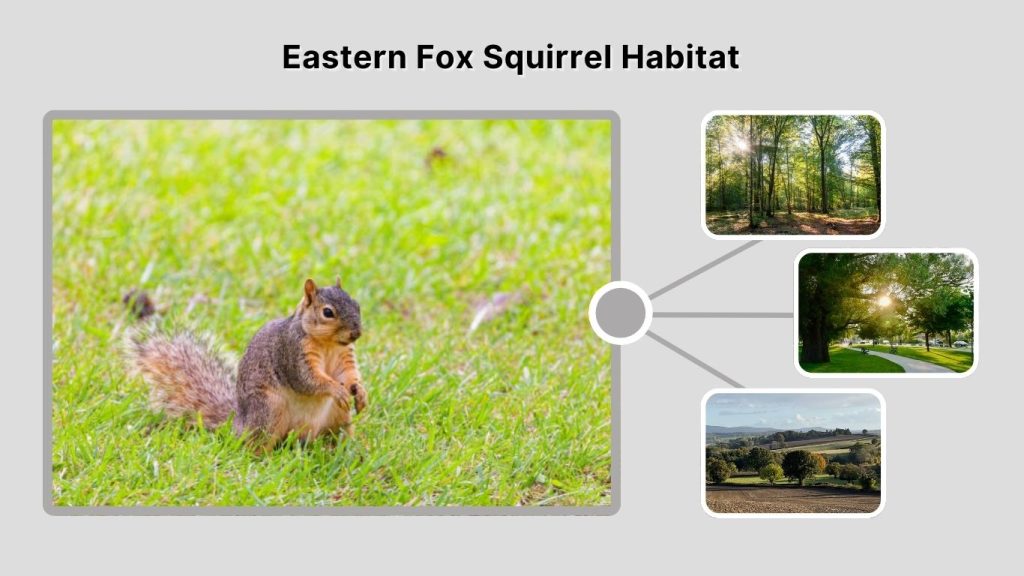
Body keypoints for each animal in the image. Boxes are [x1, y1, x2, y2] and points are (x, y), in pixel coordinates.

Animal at [127, 278, 368, 450]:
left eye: (357, 305)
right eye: (327, 312)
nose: (356, 333)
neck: (328, 344)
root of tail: (239, 424)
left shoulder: (344, 356)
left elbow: (350, 374)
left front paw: (361, 393)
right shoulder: (291, 353)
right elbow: (307, 379)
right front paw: (336, 389)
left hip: (338, 417)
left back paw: (344, 450)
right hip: (269, 410)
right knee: (256, 445)